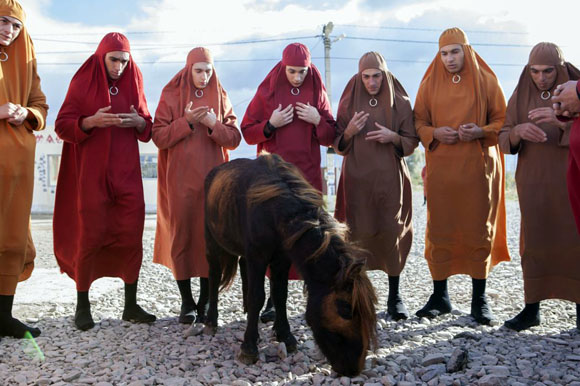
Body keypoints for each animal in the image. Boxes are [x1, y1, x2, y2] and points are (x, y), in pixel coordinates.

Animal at [205, 155, 380, 376]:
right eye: (346, 309)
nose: (354, 368)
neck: (276, 211)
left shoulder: (281, 259)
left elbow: (280, 295)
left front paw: (285, 336)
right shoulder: (258, 257)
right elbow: (257, 297)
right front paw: (249, 347)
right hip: (212, 242)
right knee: (213, 275)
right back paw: (210, 321)